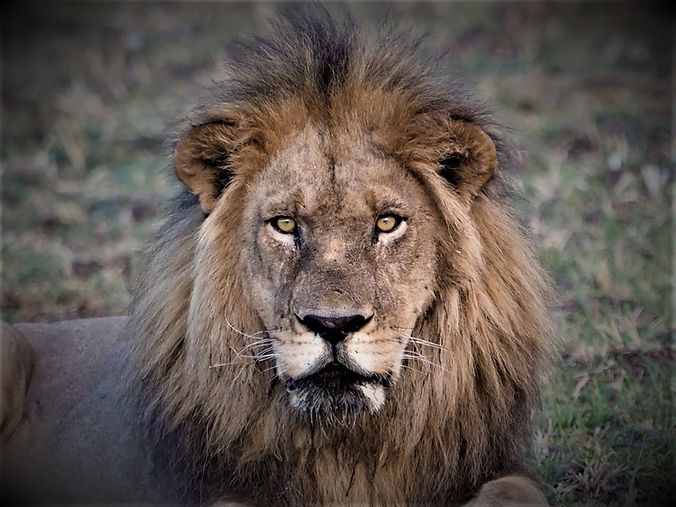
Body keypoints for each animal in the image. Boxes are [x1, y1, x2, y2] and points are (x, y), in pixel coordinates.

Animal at [1, 9, 551, 506]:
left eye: (387, 223)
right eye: (285, 225)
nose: (333, 325)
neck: (347, 445)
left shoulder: (495, 468)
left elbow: (515, 493)